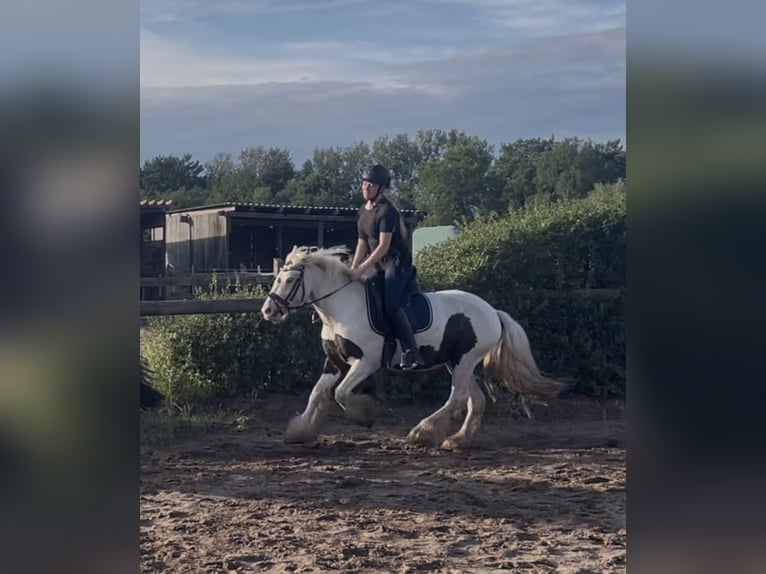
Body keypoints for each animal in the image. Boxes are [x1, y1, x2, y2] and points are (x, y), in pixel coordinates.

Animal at [260, 245, 564, 450]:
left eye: (290, 280)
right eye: (277, 279)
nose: (268, 311)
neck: (341, 309)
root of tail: (492, 311)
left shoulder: (366, 363)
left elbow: (341, 393)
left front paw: (365, 415)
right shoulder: (335, 362)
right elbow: (317, 394)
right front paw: (300, 431)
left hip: (465, 360)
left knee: (457, 398)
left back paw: (423, 432)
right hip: (458, 362)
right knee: (474, 400)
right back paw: (457, 440)